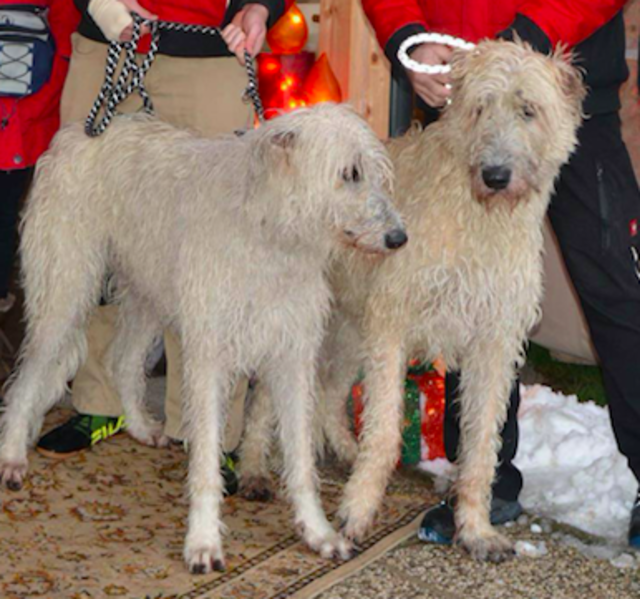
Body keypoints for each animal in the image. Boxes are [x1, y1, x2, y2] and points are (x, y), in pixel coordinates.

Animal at [0, 103, 408, 572]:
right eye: (350, 173)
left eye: (375, 172)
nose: (399, 238)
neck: (269, 233)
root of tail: (77, 132)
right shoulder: (209, 357)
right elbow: (207, 460)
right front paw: (203, 541)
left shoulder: (292, 356)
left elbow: (302, 459)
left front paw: (318, 532)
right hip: (65, 291)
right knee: (29, 375)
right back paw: (12, 454)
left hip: (147, 291)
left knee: (122, 360)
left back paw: (140, 426)